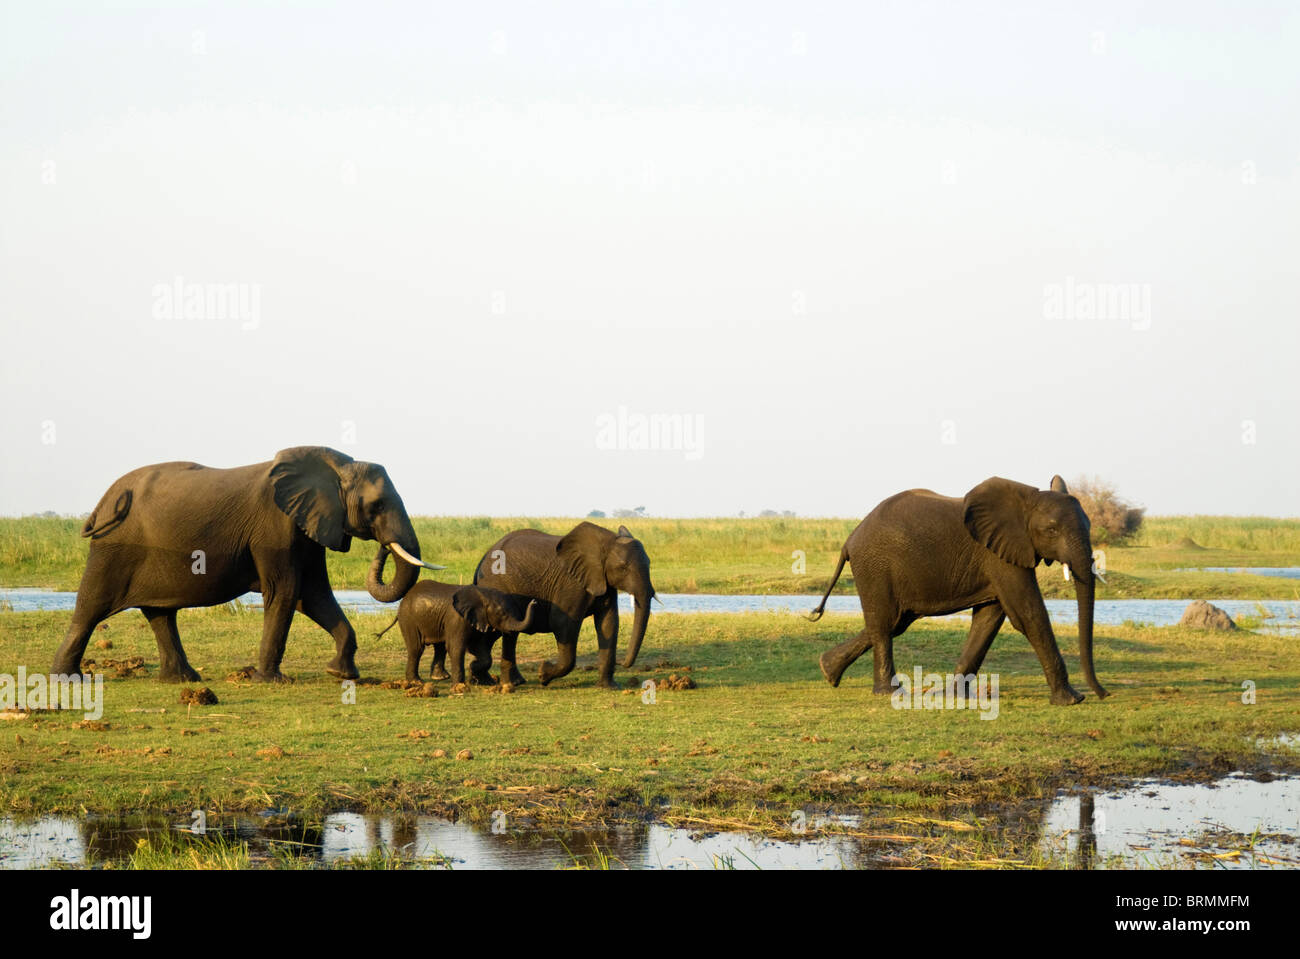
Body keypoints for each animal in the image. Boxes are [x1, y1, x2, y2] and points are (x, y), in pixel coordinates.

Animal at [50, 447, 441, 680]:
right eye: (377, 506)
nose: (384, 549)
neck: (335, 465)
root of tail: (105, 500)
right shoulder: (275, 526)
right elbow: (286, 592)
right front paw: (273, 680)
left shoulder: (307, 526)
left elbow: (314, 594)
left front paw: (341, 675)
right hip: (113, 548)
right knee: (91, 606)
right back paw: (66, 678)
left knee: (160, 613)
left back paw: (183, 679)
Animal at [377, 579, 538, 686]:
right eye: (502, 614)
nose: (534, 602)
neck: (484, 595)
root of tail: (405, 598)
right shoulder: (457, 619)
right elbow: (457, 648)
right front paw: (461, 685)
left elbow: (481, 649)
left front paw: (476, 673)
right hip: (409, 619)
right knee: (417, 649)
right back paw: (417, 682)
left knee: (440, 646)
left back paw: (440, 678)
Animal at [470, 522, 660, 686]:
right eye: (623, 568)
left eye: (650, 563)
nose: (623, 664)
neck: (607, 541)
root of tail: (482, 559)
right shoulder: (571, 583)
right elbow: (563, 623)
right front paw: (543, 675)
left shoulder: (603, 581)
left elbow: (608, 623)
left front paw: (609, 687)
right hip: (496, 586)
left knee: (505, 633)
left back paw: (495, 681)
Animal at [811, 473, 1107, 701]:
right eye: (1052, 531)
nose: (1104, 694)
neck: (1027, 498)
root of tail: (849, 539)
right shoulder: (998, 556)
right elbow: (1028, 614)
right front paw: (1072, 700)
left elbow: (988, 620)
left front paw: (956, 697)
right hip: (874, 567)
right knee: (884, 623)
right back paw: (890, 693)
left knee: (894, 622)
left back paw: (827, 671)